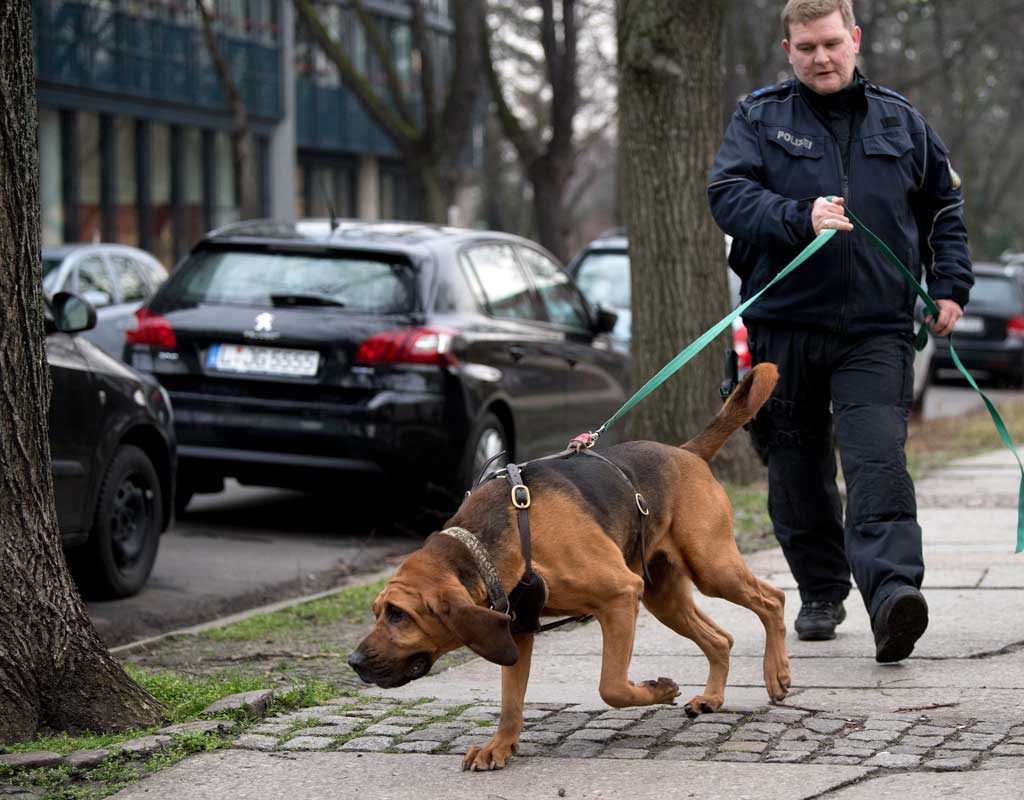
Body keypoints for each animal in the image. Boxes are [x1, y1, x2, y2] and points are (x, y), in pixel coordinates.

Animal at [348, 362, 786, 766]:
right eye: (377, 612)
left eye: (399, 615)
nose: (353, 662)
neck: (491, 543)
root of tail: (685, 452)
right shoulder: (517, 629)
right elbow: (511, 702)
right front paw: (499, 747)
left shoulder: (620, 597)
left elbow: (612, 687)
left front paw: (656, 690)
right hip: (664, 597)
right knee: (720, 639)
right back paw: (712, 698)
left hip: (711, 569)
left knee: (773, 599)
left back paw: (777, 673)